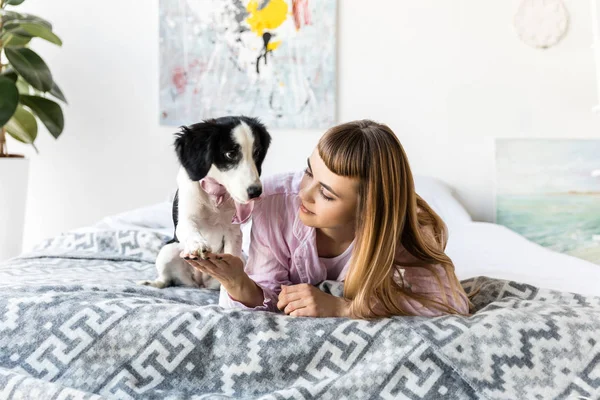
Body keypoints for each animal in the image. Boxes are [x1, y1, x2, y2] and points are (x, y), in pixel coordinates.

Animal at [137, 117, 270, 290]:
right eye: (230, 154)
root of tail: (200, 283)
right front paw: (197, 243)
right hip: (168, 250)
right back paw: (152, 283)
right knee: (166, 279)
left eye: (257, 153)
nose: (256, 192)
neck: (215, 193)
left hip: (242, 258)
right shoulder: (185, 219)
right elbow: (190, 229)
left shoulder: (233, 233)